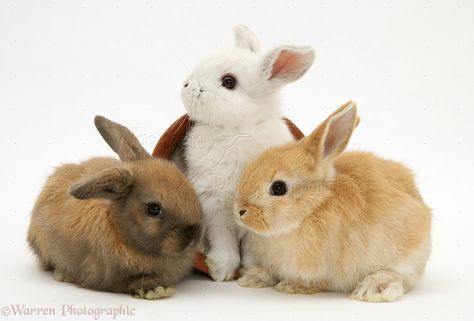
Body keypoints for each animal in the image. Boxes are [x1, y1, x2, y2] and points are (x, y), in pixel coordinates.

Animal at [181, 25, 314, 280]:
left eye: (229, 81)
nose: (186, 85)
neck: (237, 130)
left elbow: (254, 244)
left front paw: (252, 269)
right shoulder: (214, 205)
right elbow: (223, 241)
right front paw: (221, 270)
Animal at [235, 101, 432, 302]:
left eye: (278, 188)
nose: (239, 210)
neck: (313, 208)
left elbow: (315, 281)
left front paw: (291, 286)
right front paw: (252, 278)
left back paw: (370, 289)